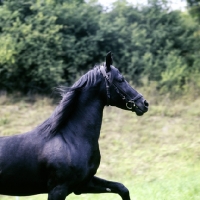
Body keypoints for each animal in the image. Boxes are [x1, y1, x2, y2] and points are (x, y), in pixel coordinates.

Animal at [0, 52, 148, 199]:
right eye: (121, 79)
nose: (144, 103)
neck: (71, 140)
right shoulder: (58, 190)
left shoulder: (83, 184)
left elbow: (122, 188)